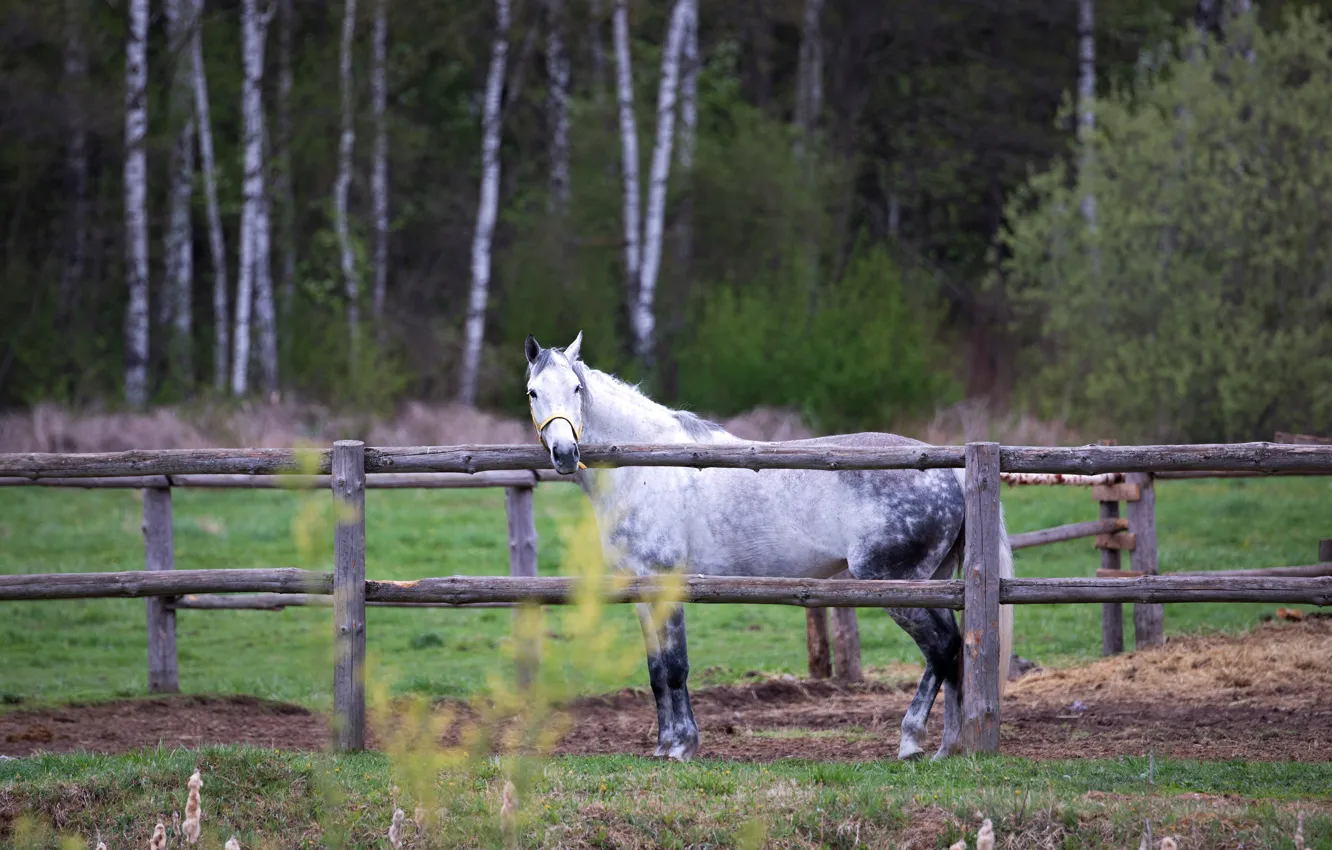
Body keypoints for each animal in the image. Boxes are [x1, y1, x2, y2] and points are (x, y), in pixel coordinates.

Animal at [523, 332, 1014, 761]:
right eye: (532, 393)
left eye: (576, 388)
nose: (564, 453)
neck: (648, 469)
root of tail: (952, 470)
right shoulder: (643, 592)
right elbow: (657, 671)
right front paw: (664, 746)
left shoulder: (667, 583)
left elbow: (676, 668)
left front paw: (682, 747)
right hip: (933, 583)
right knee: (951, 651)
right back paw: (948, 746)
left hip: (894, 585)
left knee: (943, 647)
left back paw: (913, 742)